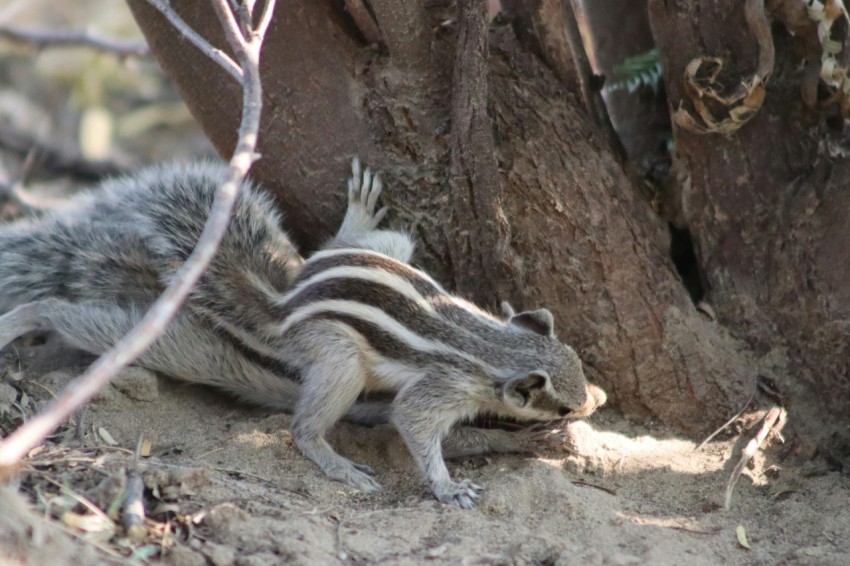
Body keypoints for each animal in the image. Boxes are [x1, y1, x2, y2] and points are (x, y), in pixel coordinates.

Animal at [1, 160, 604, 510]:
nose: (594, 402)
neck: (494, 346)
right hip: (336, 359)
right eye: (561, 405)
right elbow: (413, 422)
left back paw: (355, 220)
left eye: (578, 362)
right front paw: (448, 486)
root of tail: (285, 301)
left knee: (356, 243)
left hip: (390, 250)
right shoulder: (445, 387)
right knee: (301, 428)